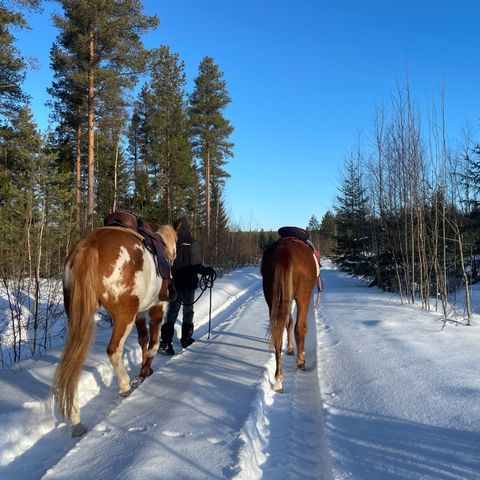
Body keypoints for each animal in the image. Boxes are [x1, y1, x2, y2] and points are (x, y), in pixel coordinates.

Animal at [51, 223, 178, 436]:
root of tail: (90, 244)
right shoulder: (157, 308)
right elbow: (153, 343)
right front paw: (144, 372)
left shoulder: (140, 313)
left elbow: (143, 340)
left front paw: (144, 370)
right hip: (124, 315)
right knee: (113, 350)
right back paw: (125, 386)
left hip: (78, 316)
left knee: (72, 363)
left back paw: (75, 419)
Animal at [260, 235, 320, 390]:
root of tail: (284, 251)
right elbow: (299, 326)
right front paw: (300, 354)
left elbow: (288, 323)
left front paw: (290, 349)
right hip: (302, 297)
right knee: (299, 328)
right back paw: (300, 362)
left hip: (272, 298)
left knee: (278, 334)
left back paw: (278, 378)